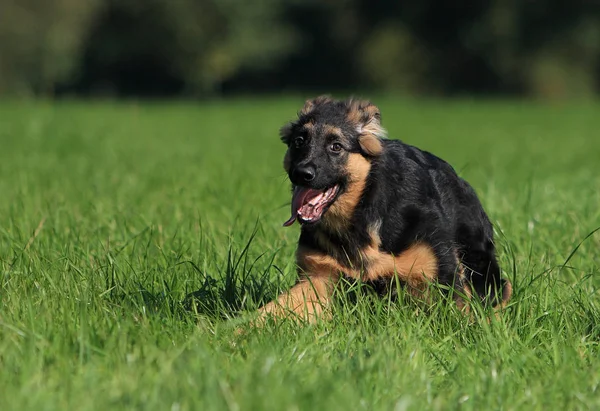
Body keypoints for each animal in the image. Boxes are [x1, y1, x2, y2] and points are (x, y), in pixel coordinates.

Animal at [258, 96, 510, 322]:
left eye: (336, 146)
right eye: (299, 141)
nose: (301, 173)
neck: (362, 211)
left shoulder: (436, 273)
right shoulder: (319, 277)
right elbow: (268, 312)